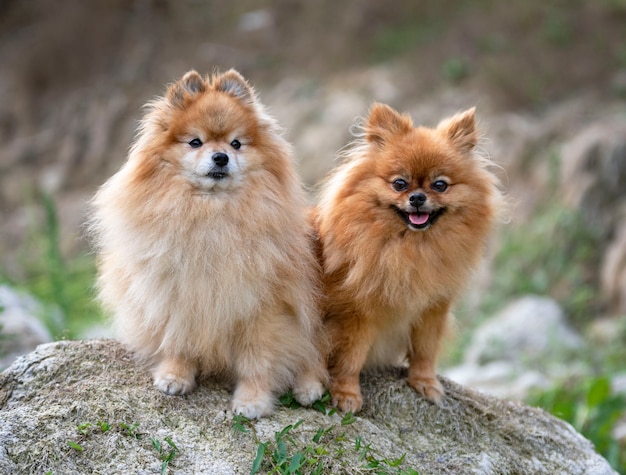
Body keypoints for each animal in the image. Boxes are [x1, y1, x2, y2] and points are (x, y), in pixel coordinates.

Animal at [91, 69, 330, 418]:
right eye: (195, 142)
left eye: (236, 143)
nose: (220, 157)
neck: (212, 217)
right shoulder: (179, 295)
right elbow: (178, 340)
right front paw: (175, 375)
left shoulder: (264, 310)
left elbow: (257, 360)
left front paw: (253, 399)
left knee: (315, 356)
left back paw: (308, 387)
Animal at [312, 103, 502, 412]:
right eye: (399, 183)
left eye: (440, 185)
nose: (417, 197)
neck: (410, 249)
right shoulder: (358, 315)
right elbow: (350, 359)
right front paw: (347, 395)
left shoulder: (431, 309)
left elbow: (425, 351)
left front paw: (424, 382)